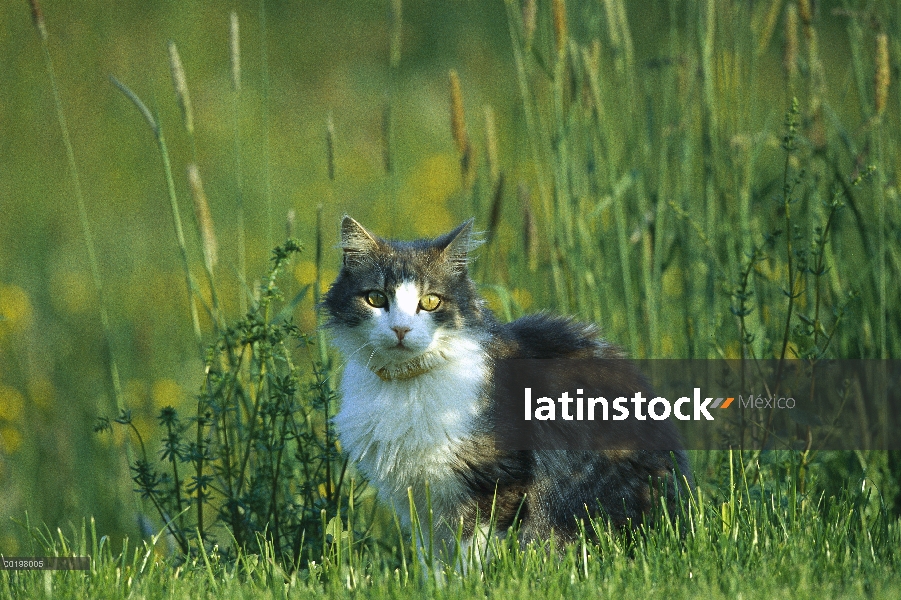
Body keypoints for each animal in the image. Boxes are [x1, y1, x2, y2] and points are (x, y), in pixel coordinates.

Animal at [320, 217, 692, 564]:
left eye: (430, 301)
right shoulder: (420, 502)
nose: (401, 329)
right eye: (376, 298)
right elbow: (434, 564)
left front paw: (473, 583)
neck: (405, 385)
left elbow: (474, 554)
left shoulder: (495, 482)